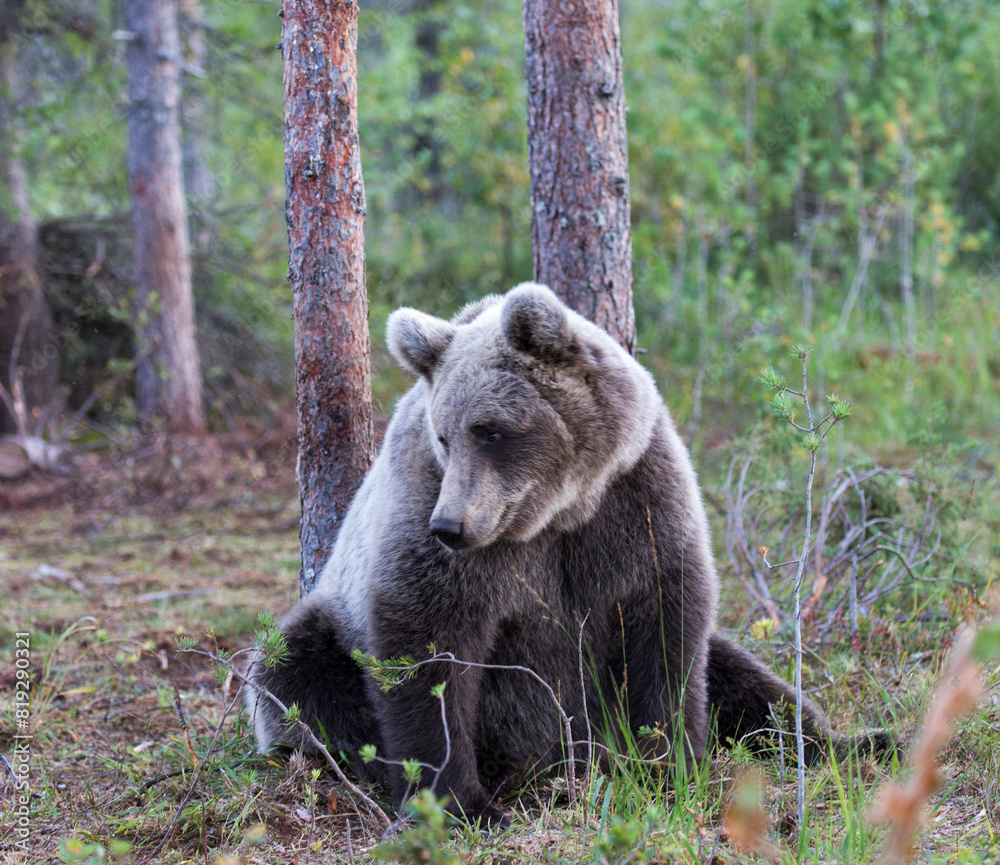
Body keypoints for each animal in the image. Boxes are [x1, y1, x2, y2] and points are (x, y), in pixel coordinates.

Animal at [246, 283, 887, 826]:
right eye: (445, 435)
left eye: (491, 430)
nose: (450, 526)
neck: (558, 510)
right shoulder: (431, 511)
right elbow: (428, 647)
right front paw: (461, 804)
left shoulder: (635, 502)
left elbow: (668, 630)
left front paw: (669, 766)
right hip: (327, 630)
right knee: (295, 674)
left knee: (743, 678)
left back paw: (857, 742)